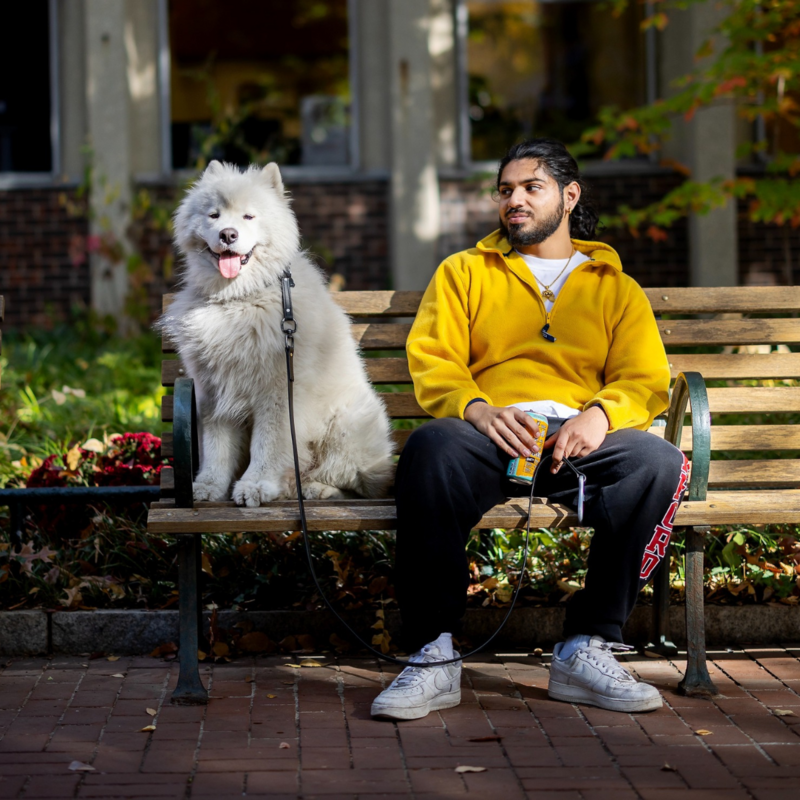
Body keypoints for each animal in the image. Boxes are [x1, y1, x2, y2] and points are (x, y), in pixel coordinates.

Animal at [159, 160, 394, 506]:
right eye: (213, 215)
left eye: (248, 216)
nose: (228, 234)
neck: (239, 299)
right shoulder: (214, 393)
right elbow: (216, 448)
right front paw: (208, 486)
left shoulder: (278, 393)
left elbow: (268, 445)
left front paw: (255, 486)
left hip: (346, 424)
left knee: (353, 482)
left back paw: (315, 488)